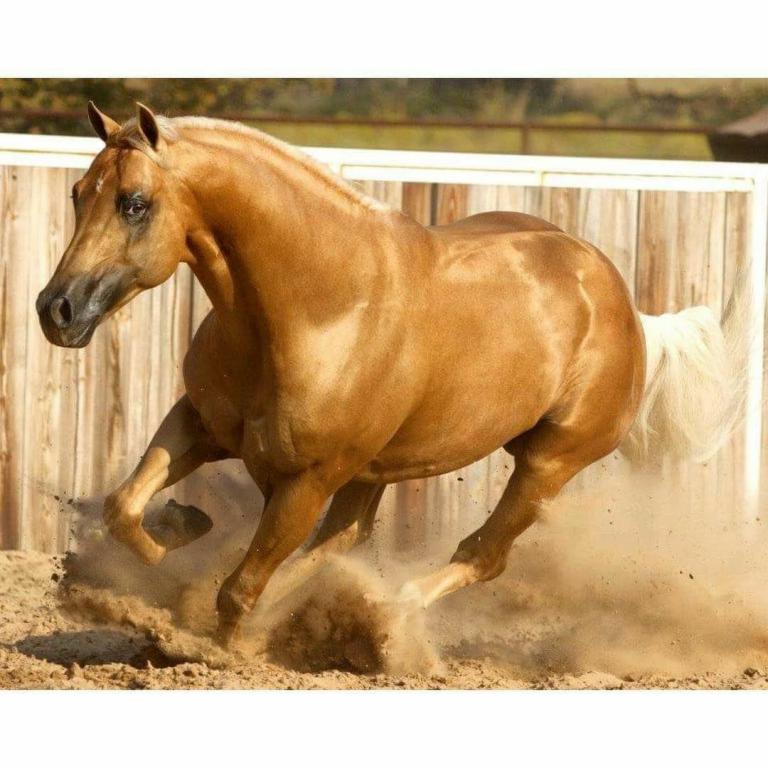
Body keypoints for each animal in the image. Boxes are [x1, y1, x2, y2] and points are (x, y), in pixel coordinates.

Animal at [36, 102, 745, 647]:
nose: (56, 310)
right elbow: (125, 507)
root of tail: (627, 309)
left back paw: (384, 618)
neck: (319, 306)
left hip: (547, 463)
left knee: (480, 555)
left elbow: (240, 590)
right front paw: (182, 528)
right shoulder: (202, 424)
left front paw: (216, 648)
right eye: (76, 194)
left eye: (134, 203)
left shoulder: (309, 480)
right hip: (376, 472)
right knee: (348, 539)